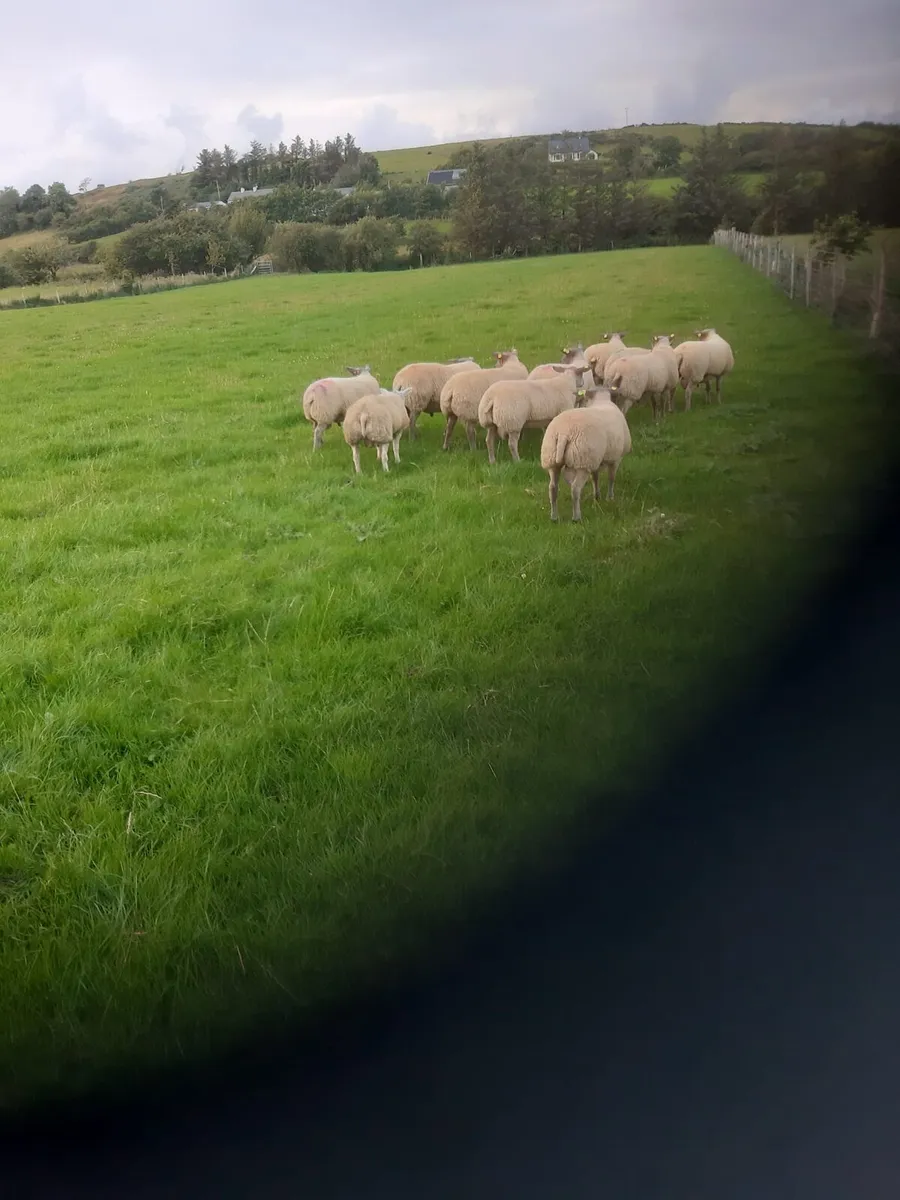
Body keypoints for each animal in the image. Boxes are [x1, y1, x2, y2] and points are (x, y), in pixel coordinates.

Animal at [540, 386, 632, 522]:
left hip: (552, 459)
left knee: (552, 488)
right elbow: (611, 478)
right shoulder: (616, 458)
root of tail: (563, 432)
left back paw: (554, 517)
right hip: (582, 461)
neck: (601, 400)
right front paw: (610, 498)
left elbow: (595, 478)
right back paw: (576, 517)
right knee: (575, 489)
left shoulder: (595, 459)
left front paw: (597, 496)